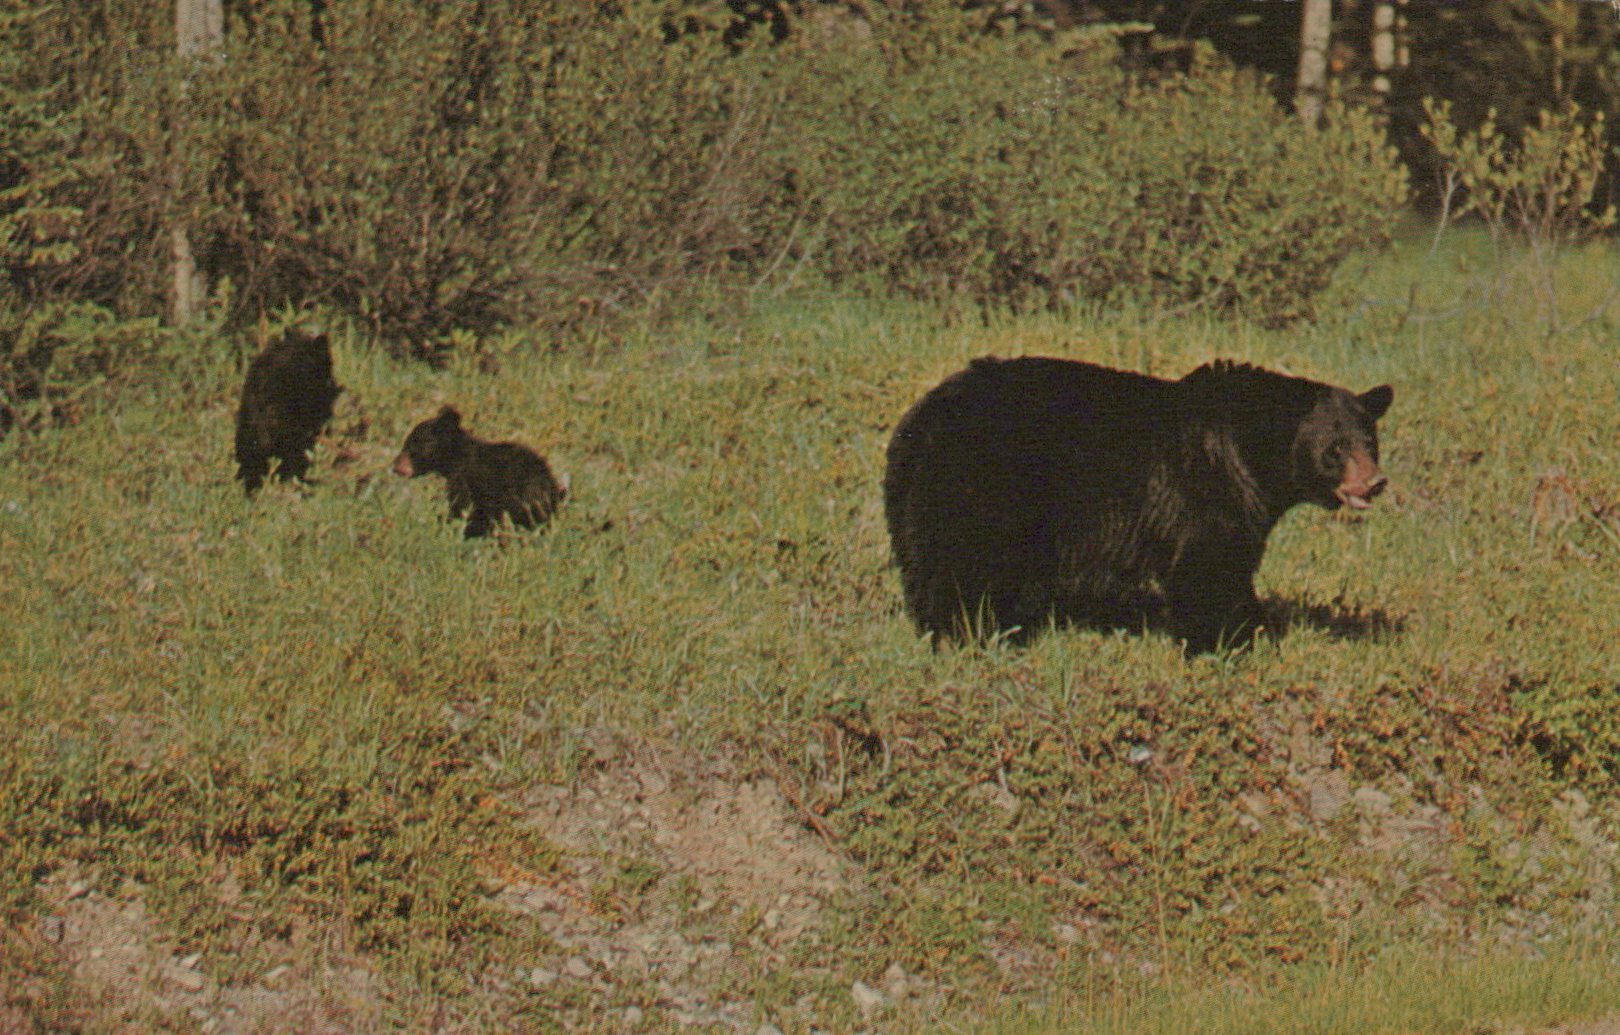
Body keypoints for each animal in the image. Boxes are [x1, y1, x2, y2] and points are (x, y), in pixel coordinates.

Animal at [392, 404, 570, 537]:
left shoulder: (464, 481)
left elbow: (462, 508)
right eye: (407, 442)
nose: (396, 466)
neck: (458, 457)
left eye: (414, 444)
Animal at [887, 356, 1393, 647]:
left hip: (915, 499)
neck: (1249, 451)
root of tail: (923, 418)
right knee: (967, 566)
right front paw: (1224, 641)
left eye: (1369, 440)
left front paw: (1256, 627)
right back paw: (970, 635)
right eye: (1336, 448)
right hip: (984, 485)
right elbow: (1209, 567)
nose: (1374, 483)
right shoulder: (1207, 489)